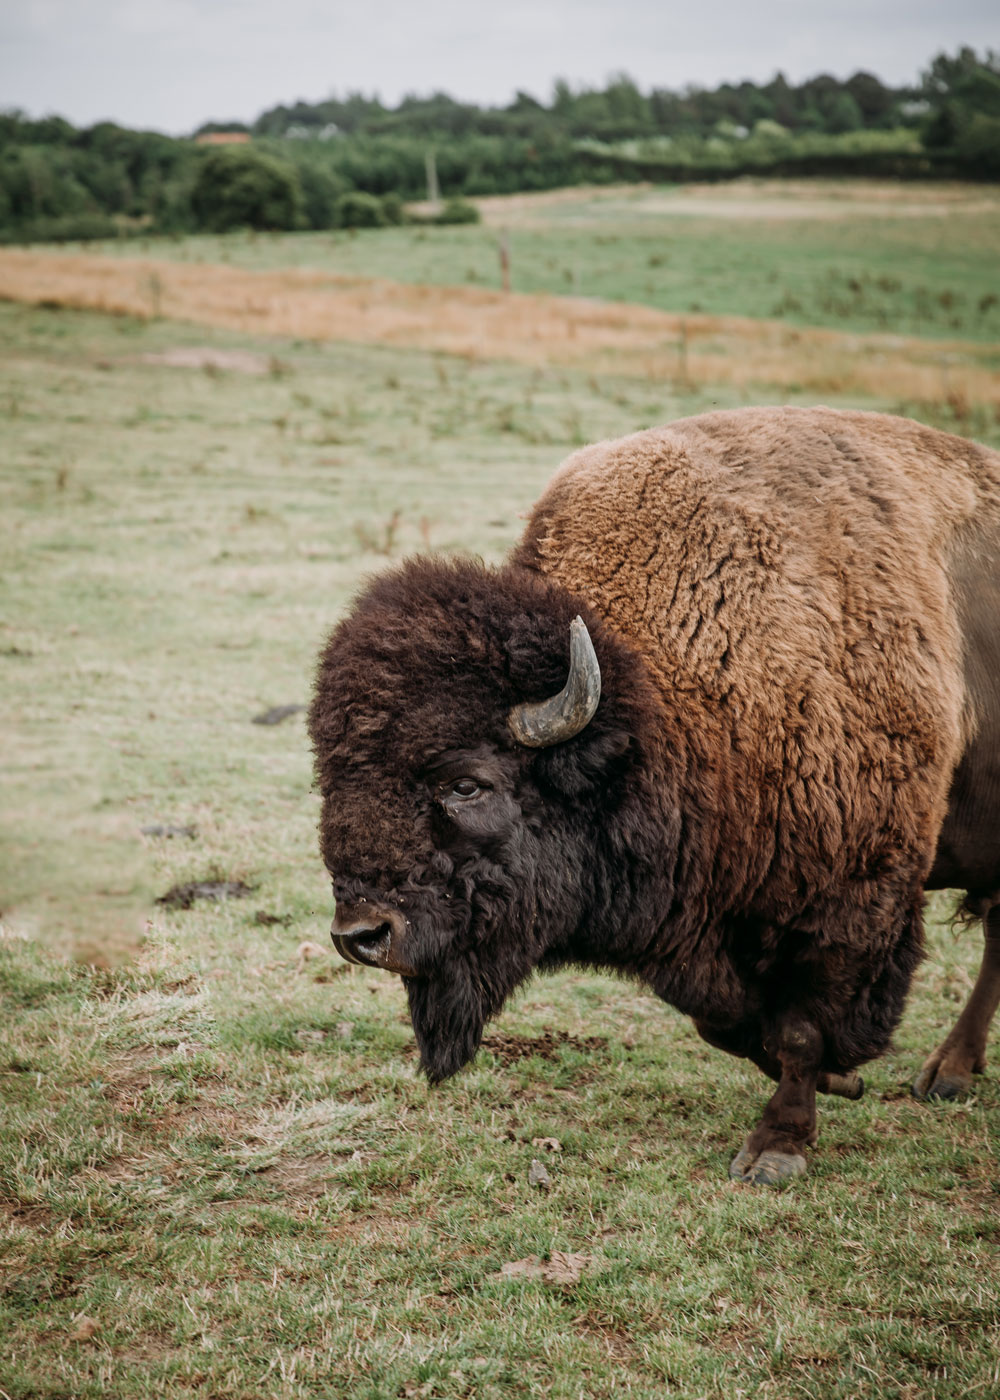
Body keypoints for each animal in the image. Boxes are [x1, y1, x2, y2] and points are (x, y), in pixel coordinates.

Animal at [308, 406, 991, 1181]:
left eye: (467, 784)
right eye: (332, 775)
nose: (361, 935)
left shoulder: (848, 904)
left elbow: (800, 1030)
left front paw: (777, 1147)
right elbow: (731, 1025)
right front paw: (839, 1081)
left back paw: (948, 1073)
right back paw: (951, 1072)